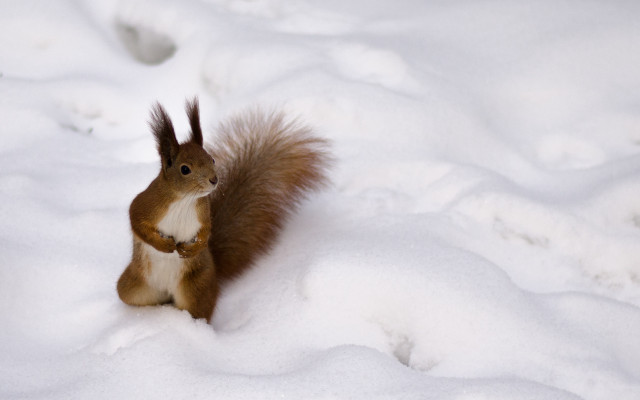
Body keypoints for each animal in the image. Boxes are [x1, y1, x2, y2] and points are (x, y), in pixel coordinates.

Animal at [117, 98, 330, 322]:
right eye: (185, 169)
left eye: (212, 159)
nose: (214, 179)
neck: (184, 200)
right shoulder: (146, 204)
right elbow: (136, 221)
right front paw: (163, 245)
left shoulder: (203, 213)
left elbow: (206, 232)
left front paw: (192, 249)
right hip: (132, 286)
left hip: (196, 288)